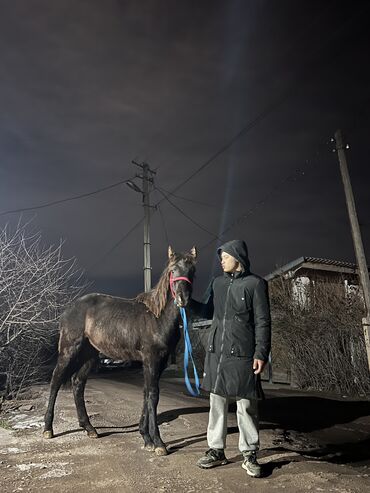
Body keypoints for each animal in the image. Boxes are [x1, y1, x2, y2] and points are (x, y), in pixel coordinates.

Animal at [43, 244, 197, 456]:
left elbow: (147, 393)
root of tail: (68, 309)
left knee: (77, 383)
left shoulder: (160, 362)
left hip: (90, 356)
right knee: (56, 381)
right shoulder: (151, 359)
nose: (183, 299)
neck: (156, 317)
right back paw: (48, 429)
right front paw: (158, 443)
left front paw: (146, 438)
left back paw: (89, 428)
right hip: (69, 350)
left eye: (192, 270)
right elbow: (153, 394)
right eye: (172, 270)